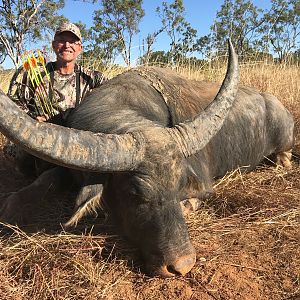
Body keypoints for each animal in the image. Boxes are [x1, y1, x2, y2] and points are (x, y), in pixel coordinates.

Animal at [0, 41, 294, 276]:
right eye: (135, 194)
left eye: (179, 188)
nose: (182, 265)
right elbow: (38, 184)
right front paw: (11, 210)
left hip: (285, 143)